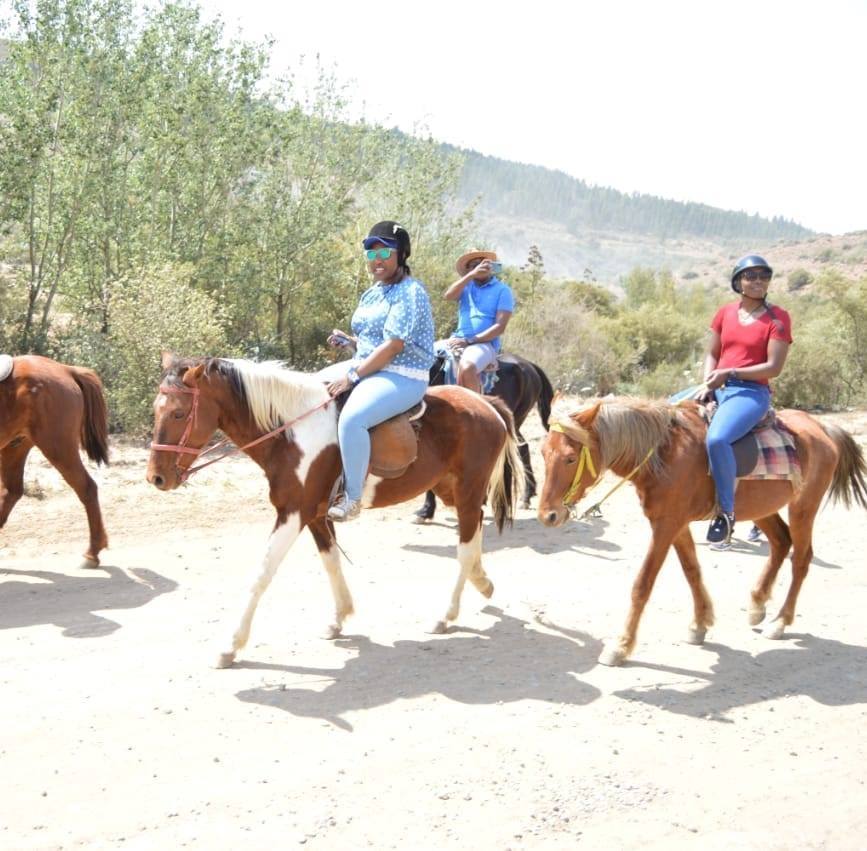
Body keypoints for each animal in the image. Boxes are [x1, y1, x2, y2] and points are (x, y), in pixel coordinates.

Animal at [0, 352, 109, 564]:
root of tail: (66, 370)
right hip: (15, 446)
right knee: (11, 492)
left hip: (58, 447)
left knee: (87, 488)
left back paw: (92, 551)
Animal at [147, 356, 524, 668]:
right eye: (156, 409)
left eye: (179, 413)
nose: (156, 477)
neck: (291, 434)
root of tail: (485, 404)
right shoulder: (315, 516)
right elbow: (331, 562)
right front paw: (340, 616)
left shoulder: (293, 514)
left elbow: (262, 574)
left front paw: (230, 645)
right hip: (450, 490)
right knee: (474, 534)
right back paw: (483, 582)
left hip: (468, 490)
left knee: (464, 548)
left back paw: (447, 614)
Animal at [540, 396, 864, 668]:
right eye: (543, 453)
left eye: (570, 458)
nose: (548, 515)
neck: (663, 455)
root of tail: (821, 427)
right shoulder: (675, 524)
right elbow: (692, 570)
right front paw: (700, 624)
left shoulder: (666, 524)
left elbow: (643, 584)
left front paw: (620, 646)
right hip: (762, 509)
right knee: (781, 542)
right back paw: (758, 604)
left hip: (803, 507)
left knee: (801, 558)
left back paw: (779, 622)